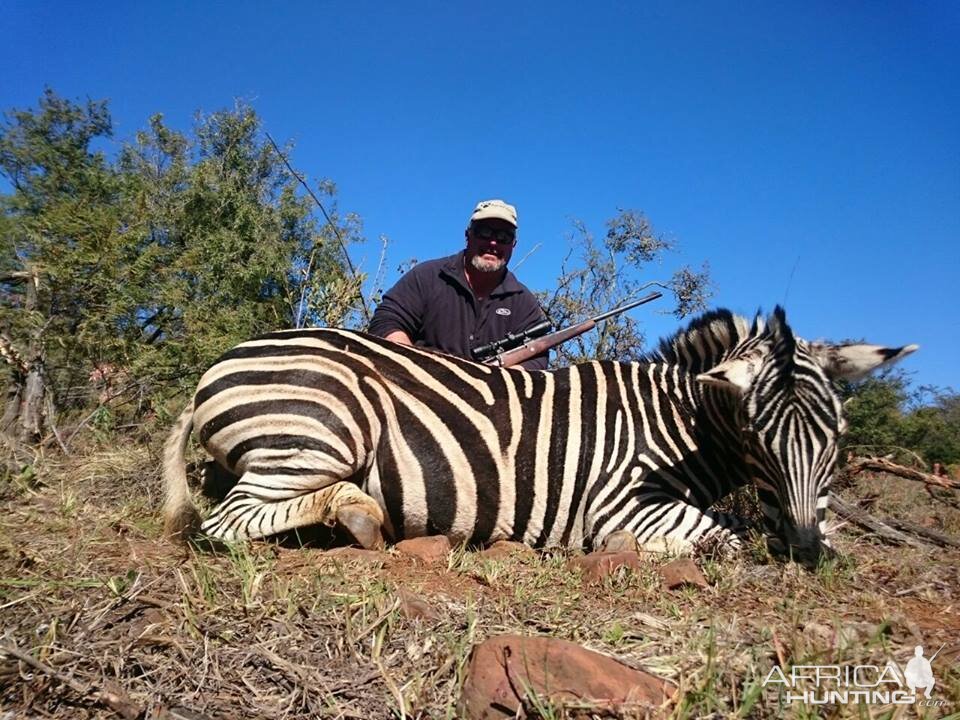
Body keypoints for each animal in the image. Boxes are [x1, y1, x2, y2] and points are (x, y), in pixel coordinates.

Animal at [163, 306, 916, 564]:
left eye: (837, 438)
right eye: (759, 437)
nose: (807, 553)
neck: (676, 424)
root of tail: (215, 369)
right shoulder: (618, 505)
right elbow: (724, 540)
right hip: (327, 432)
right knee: (225, 522)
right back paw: (356, 514)